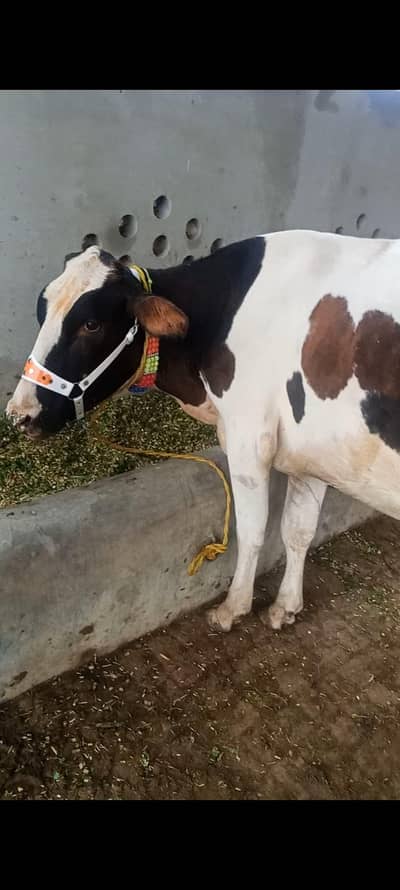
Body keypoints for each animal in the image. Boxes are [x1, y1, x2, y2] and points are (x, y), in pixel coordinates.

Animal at [6, 229, 400, 633]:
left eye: (91, 325)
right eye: (42, 312)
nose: (19, 414)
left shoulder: (248, 438)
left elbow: (253, 530)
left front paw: (232, 609)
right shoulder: (312, 449)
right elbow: (298, 531)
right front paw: (285, 607)